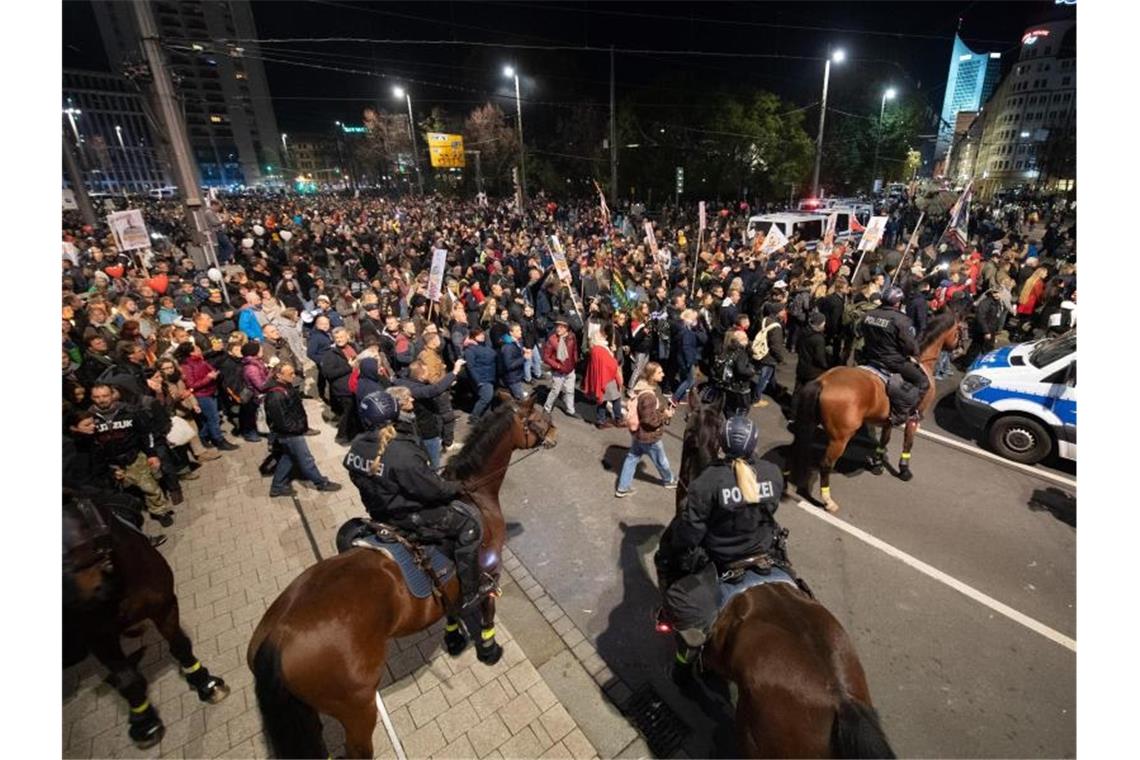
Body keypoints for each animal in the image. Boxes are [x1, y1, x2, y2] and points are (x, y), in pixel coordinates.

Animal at [64, 494, 231, 747]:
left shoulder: (165, 606)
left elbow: (180, 645)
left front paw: (204, 681)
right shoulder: (99, 637)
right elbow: (127, 678)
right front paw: (144, 721)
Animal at [246, 401, 556, 756]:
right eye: (538, 418)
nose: (555, 433)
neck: (476, 496)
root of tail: (277, 637)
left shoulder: (449, 585)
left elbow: (451, 608)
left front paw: (454, 639)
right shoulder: (490, 570)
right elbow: (487, 610)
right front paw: (489, 649)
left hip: (307, 714)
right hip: (358, 710)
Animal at [793, 312, 962, 515]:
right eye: (960, 330)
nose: (959, 350)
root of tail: (824, 381)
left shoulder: (888, 420)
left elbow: (884, 441)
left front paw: (877, 463)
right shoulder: (914, 418)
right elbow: (908, 444)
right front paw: (904, 470)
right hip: (840, 439)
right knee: (826, 465)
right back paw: (828, 501)